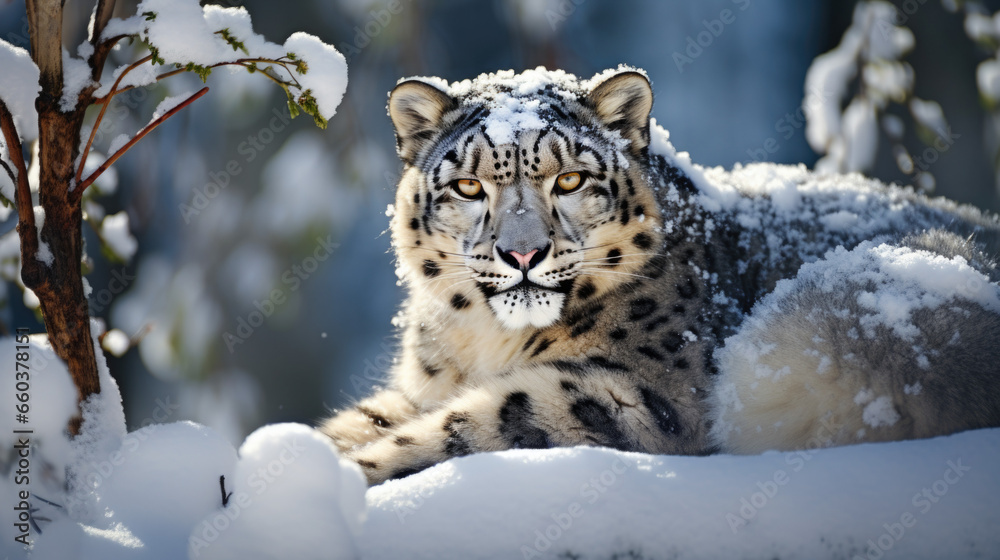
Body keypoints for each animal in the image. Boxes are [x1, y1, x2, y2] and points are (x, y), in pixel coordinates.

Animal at [320, 66, 1000, 485]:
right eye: (467, 185)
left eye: (570, 179)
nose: (522, 254)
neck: (485, 343)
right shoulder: (420, 386)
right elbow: (370, 418)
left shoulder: (649, 393)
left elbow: (474, 422)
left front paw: (347, 477)